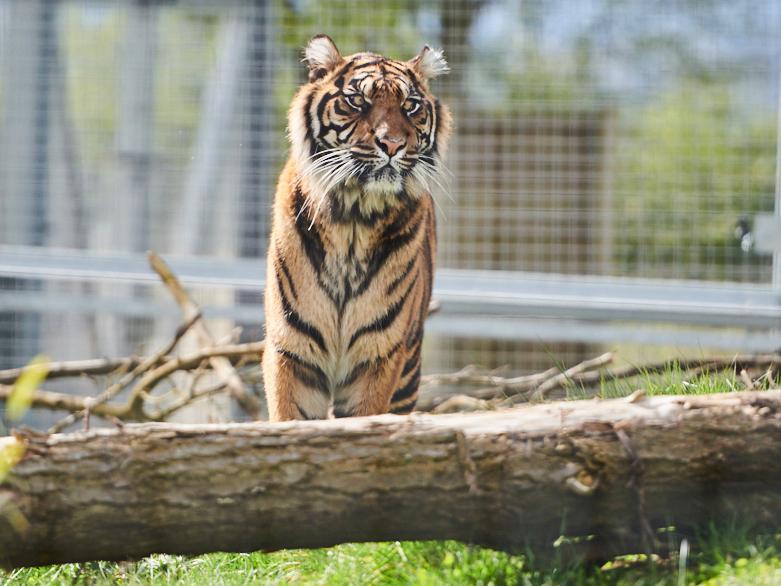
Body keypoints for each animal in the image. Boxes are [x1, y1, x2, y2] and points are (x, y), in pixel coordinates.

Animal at [262, 35, 451, 421]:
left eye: (410, 106)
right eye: (356, 101)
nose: (392, 144)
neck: (353, 218)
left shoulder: (379, 356)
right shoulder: (292, 350)